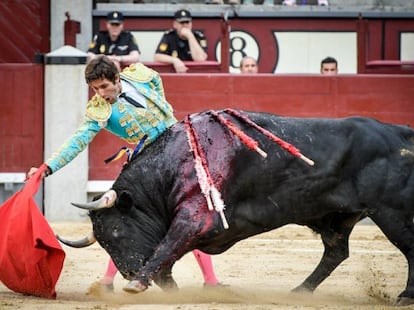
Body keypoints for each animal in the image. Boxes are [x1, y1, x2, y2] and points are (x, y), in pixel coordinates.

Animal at [59, 109, 414, 306]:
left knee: (408, 248)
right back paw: (299, 291)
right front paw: (168, 290)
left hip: (391, 211)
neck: (172, 166)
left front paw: (137, 284)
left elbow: (166, 247)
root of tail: (400, 133)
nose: (130, 271)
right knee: (336, 252)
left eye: (117, 229)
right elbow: (166, 258)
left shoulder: (196, 218)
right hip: (338, 218)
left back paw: (405, 295)